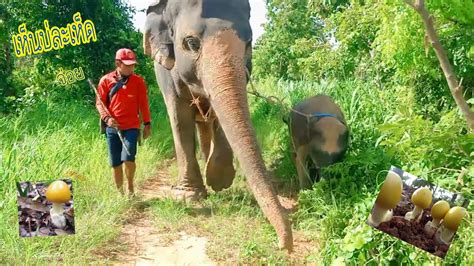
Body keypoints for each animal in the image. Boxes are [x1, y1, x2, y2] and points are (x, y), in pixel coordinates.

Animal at [143, 0, 292, 249]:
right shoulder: (164, 71)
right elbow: (179, 116)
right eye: (191, 43)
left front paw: (219, 181)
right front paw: (188, 196)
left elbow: (220, 116)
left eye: (248, 44)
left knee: (206, 125)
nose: (283, 245)